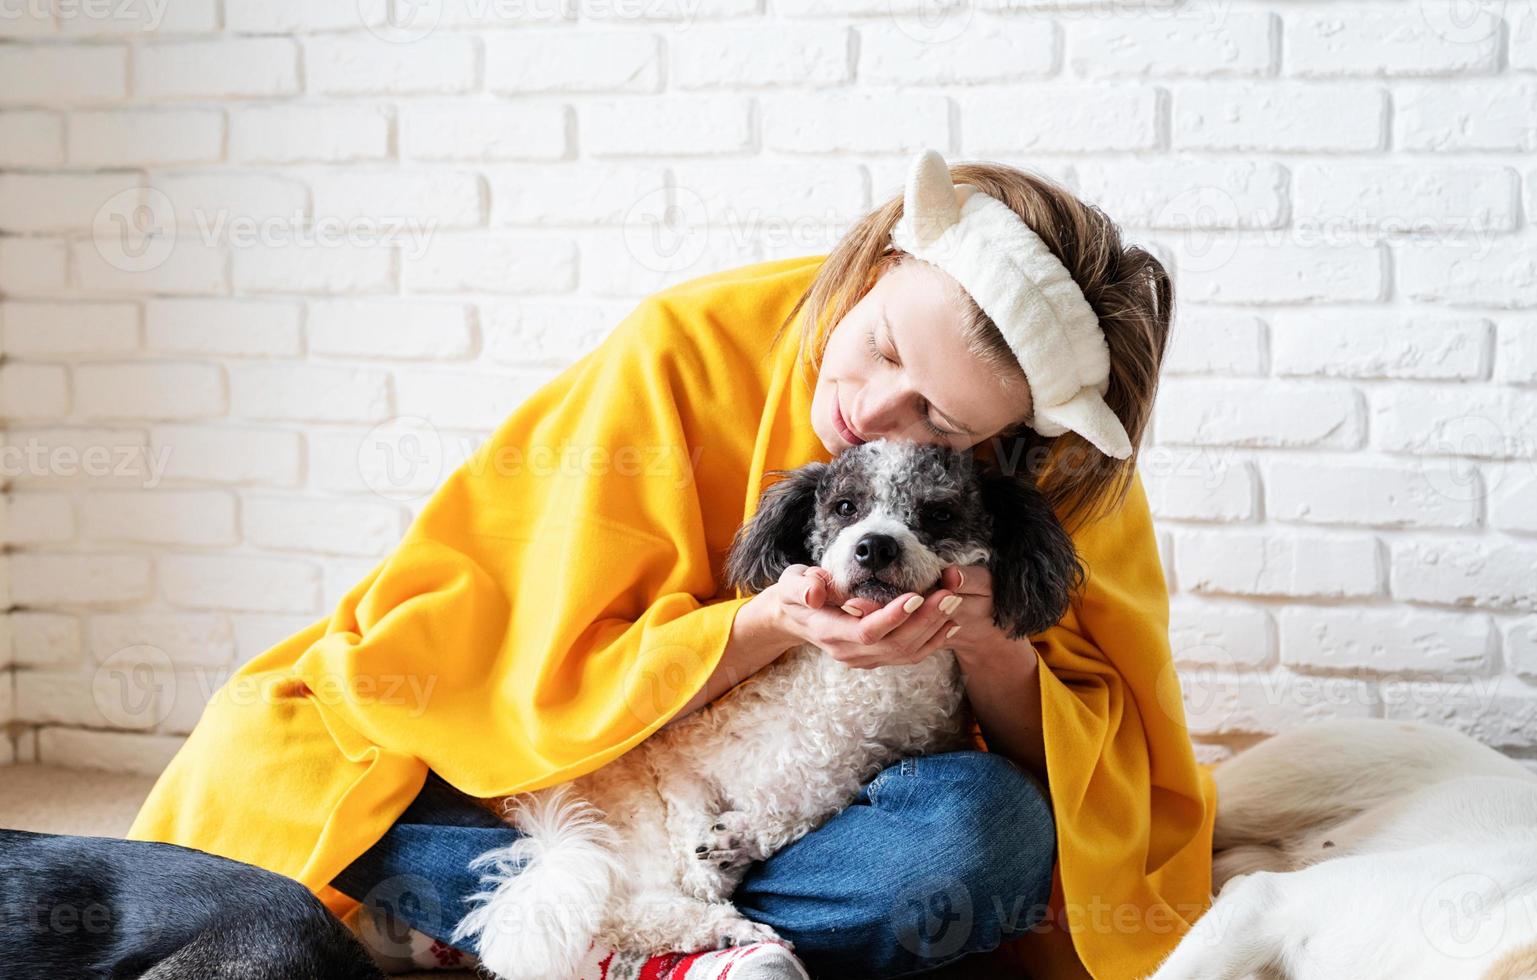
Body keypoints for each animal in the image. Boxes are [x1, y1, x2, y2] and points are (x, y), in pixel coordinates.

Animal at [451, 439, 1082, 980]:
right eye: (846, 507)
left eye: (940, 514)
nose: (874, 545)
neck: (852, 703)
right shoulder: (676, 760)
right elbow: (692, 827)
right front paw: (712, 861)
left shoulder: (850, 770)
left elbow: (798, 809)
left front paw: (735, 841)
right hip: (617, 832)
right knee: (631, 910)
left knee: (635, 915)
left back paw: (734, 932)